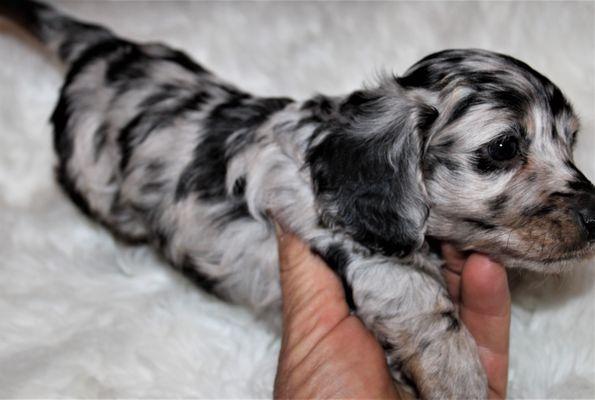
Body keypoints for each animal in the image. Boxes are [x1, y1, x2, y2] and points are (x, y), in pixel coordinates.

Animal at [2, 1, 592, 398]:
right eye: (504, 146)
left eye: (570, 141)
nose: (594, 214)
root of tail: (101, 49)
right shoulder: (352, 245)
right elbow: (425, 303)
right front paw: (460, 376)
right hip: (88, 170)